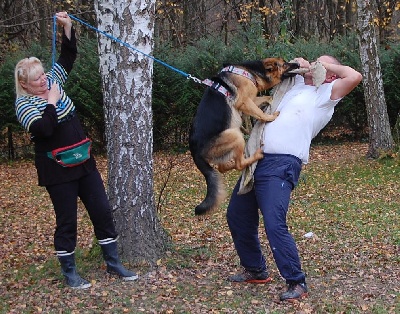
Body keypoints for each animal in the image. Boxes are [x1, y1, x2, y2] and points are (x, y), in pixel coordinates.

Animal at [189, 57, 298, 215]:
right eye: (284, 64)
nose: (299, 63)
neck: (251, 72)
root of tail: (194, 151)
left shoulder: (252, 99)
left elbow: (267, 97)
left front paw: (269, 103)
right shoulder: (245, 102)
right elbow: (260, 113)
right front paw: (270, 117)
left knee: (223, 167)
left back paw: (232, 163)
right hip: (235, 135)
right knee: (239, 164)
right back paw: (255, 156)